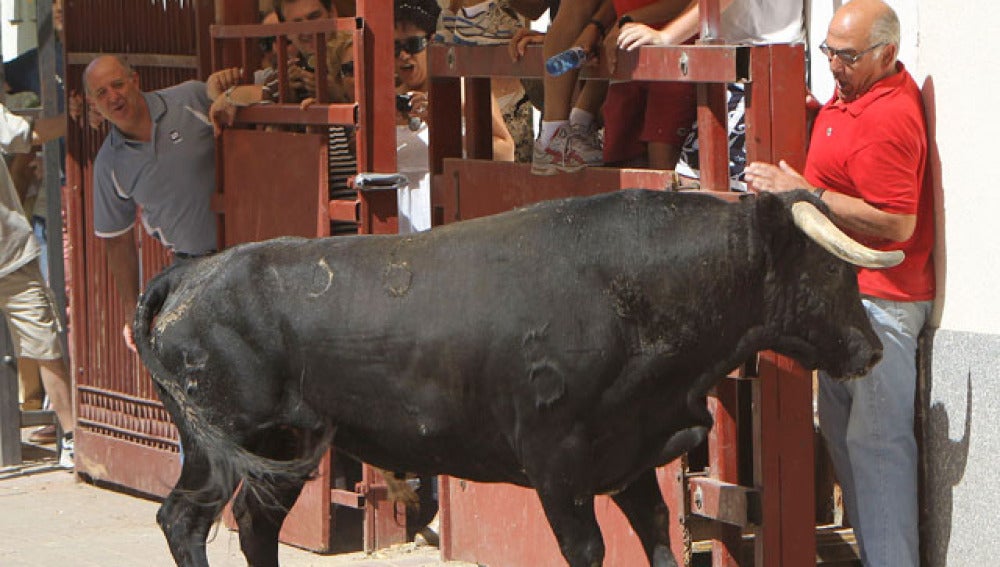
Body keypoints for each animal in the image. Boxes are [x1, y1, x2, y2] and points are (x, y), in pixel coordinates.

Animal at [131, 191, 900, 567]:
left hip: (285, 447)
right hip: (219, 444)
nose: (870, 350)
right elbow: (588, 549)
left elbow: (658, 537)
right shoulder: (557, 464)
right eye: (829, 268)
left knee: (256, 525)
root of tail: (190, 275)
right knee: (184, 519)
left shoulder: (630, 457)